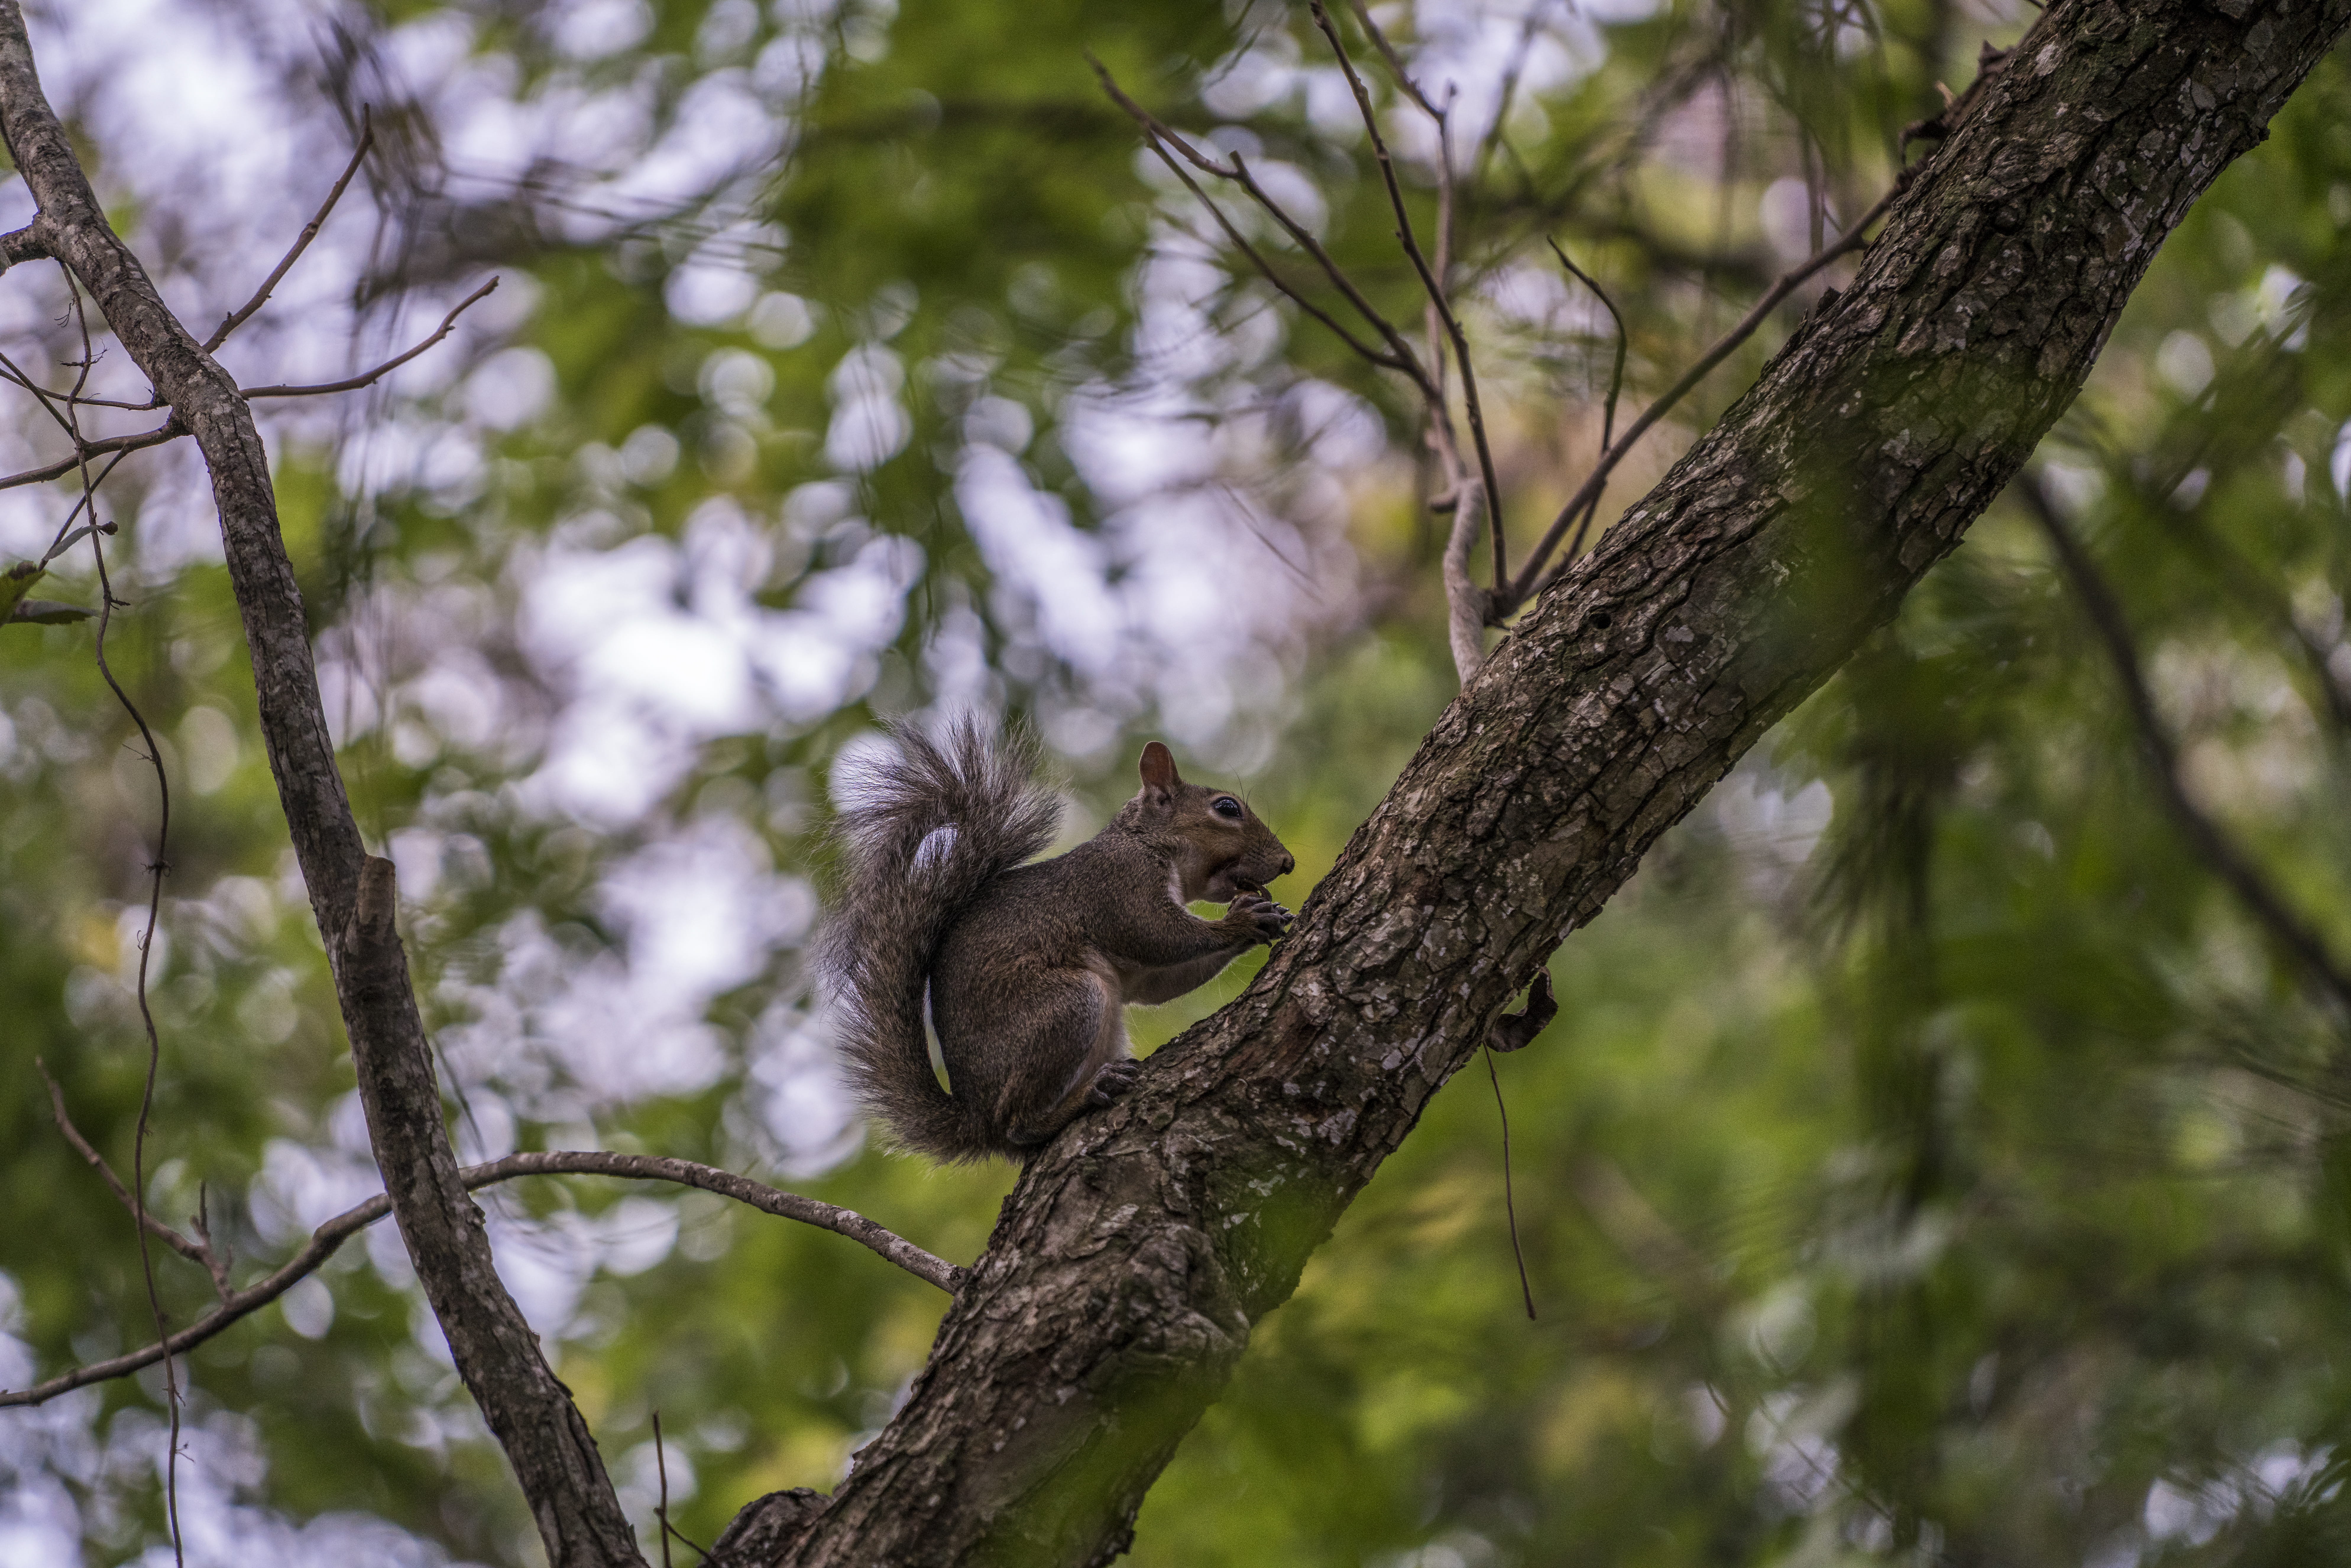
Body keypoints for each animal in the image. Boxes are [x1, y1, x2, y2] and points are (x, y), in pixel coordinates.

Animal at [820, 718, 1296, 1163]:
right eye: (1227, 808)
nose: (1287, 863)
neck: (1147, 843)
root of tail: (976, 1118)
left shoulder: (1140, 967)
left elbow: (1158, 985)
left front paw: (1267, 919)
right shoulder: (1117, 886)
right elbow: (1158, 935)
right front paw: (1240, 922)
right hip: (1064, 1006)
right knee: (1017, 1125)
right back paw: (1086, 1096)